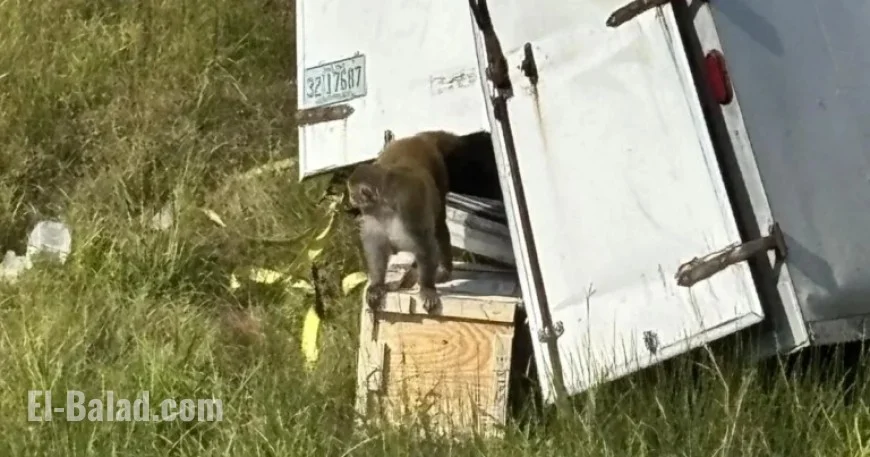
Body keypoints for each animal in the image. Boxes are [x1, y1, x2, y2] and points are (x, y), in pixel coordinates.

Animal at [347, 132, 455, 313]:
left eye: (352, 193)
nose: (350, 199)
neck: (384, 205)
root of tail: (416, 138)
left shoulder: (408, 206)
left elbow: (424, 244)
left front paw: (427, 288)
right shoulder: (372, 215)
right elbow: (376, 246)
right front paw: (377, 285)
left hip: (439, 173)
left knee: (439, 224)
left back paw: (444, 269)